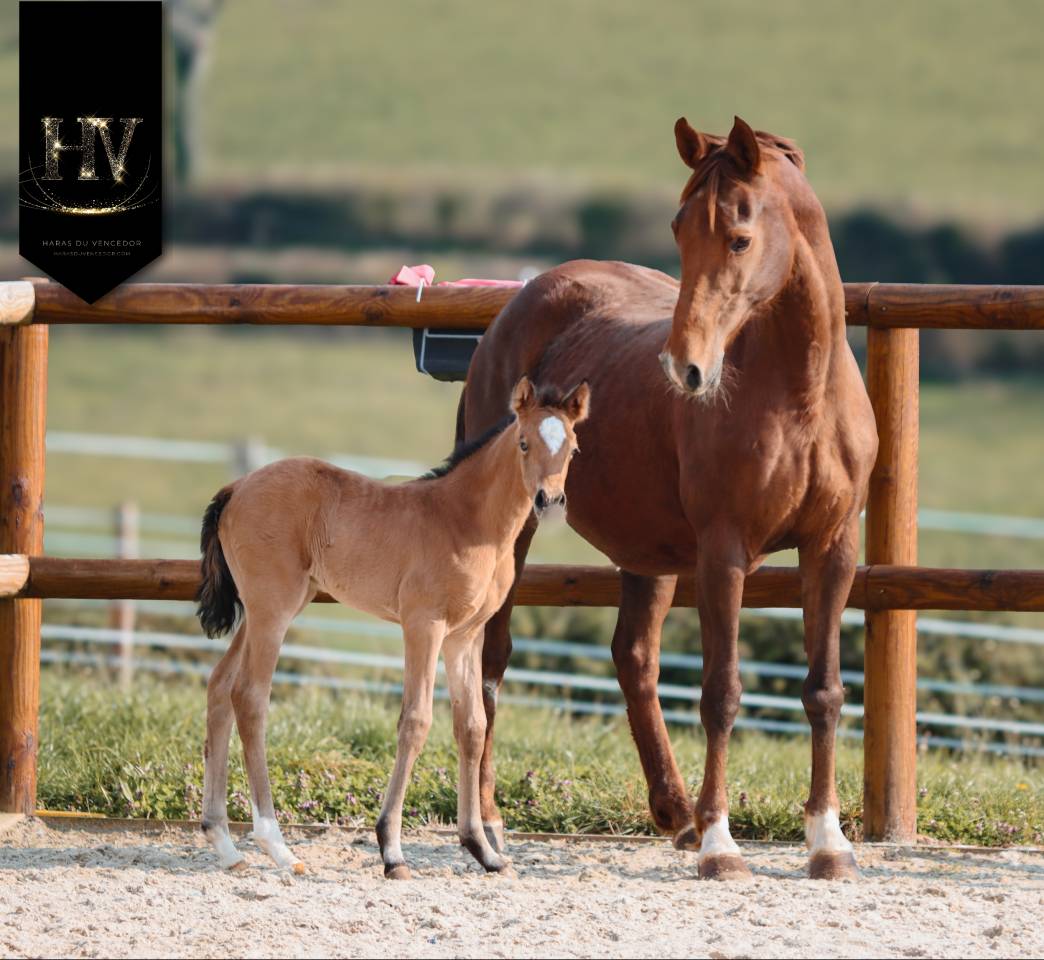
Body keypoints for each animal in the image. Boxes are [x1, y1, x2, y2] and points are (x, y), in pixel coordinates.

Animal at [195, 375, 590, 878]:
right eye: (524, 442)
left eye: (573, 448)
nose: (550, 500)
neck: (466, 522)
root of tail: (236, 487)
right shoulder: (424, 624)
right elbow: (416, 720)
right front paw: (392, 850)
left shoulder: (465, 637)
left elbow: (472, 726)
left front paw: (483, 850)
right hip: (273, 608)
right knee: (250, 696)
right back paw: (277, 845)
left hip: (268, 607)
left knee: (220, 686)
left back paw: (225, 844)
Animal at [459, 117, 878, 881]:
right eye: (680, 230)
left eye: (739, 236)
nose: (685, 368)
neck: (801, 393)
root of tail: (520, 304)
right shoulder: (724, 553)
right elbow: (721, 693)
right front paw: (721, 845)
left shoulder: (833, 548)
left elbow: (825, 690)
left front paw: (828, 843)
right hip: (516, 535)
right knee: (491, 660)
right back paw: (492, 821)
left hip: (647, 553)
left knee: (634, 659)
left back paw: (675, 812)